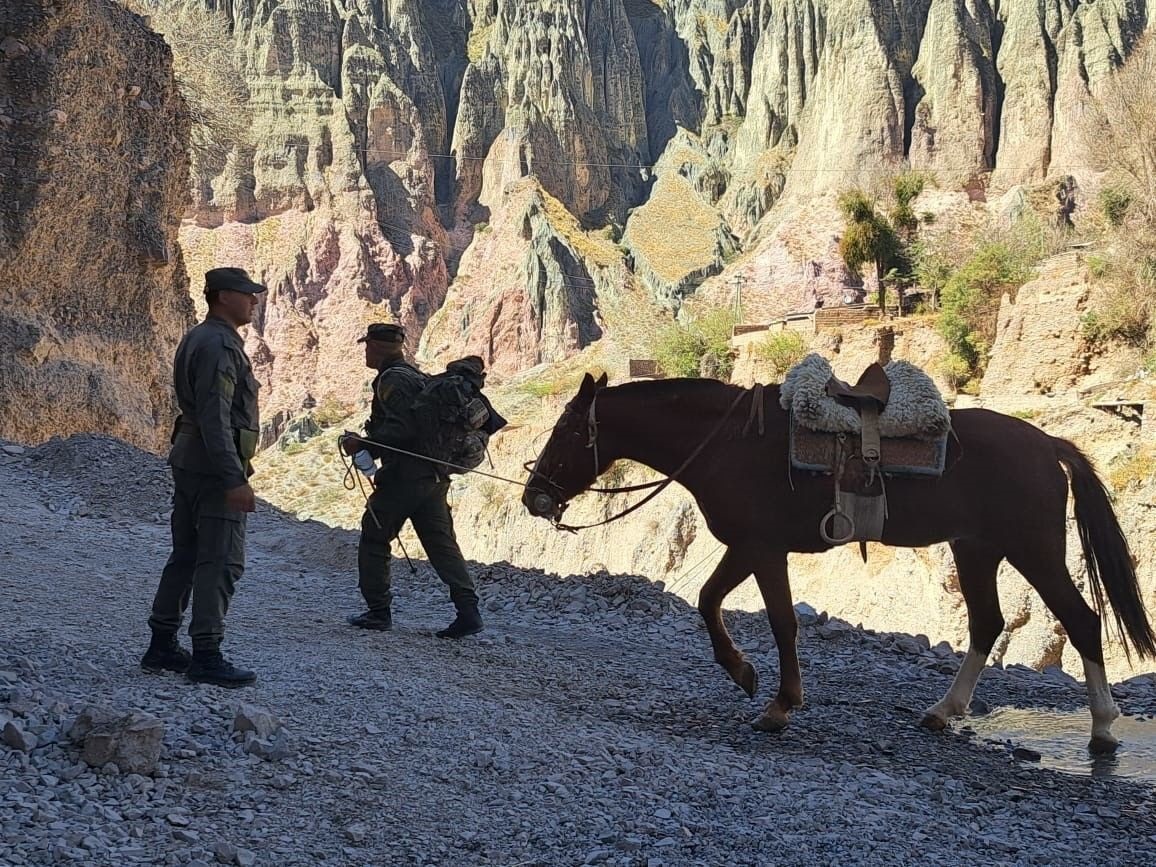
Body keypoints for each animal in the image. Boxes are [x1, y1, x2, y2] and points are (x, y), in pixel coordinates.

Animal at [524, 374, 1156, 753]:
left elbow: (780, 621)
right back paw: (942, 710)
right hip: (976, 549)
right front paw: (744, 673)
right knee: (986, 624)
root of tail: (1049, 444)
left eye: (566, 430)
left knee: (1082, 621)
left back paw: (1103, 728)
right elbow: (708, 600)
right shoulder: (748, 546)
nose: (534, 498)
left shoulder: (762, 548)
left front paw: (778, 704)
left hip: (1033, 551)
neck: (728, 443)